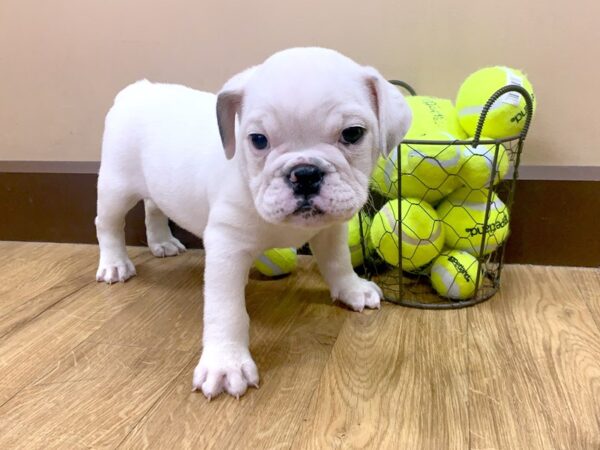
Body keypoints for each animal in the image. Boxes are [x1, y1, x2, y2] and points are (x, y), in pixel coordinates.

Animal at [96, 47, 412, 400]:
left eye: (353, 134)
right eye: (258, 140)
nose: (305, 173)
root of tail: (138, 90)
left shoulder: (330, 230)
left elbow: (338, 262)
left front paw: (351, 289)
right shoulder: (226, 248)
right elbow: (226, 310)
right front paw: (226, 364)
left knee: (154, 206)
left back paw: (161, 242)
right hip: (116, 187)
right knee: (108, 224)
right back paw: (114, 264)